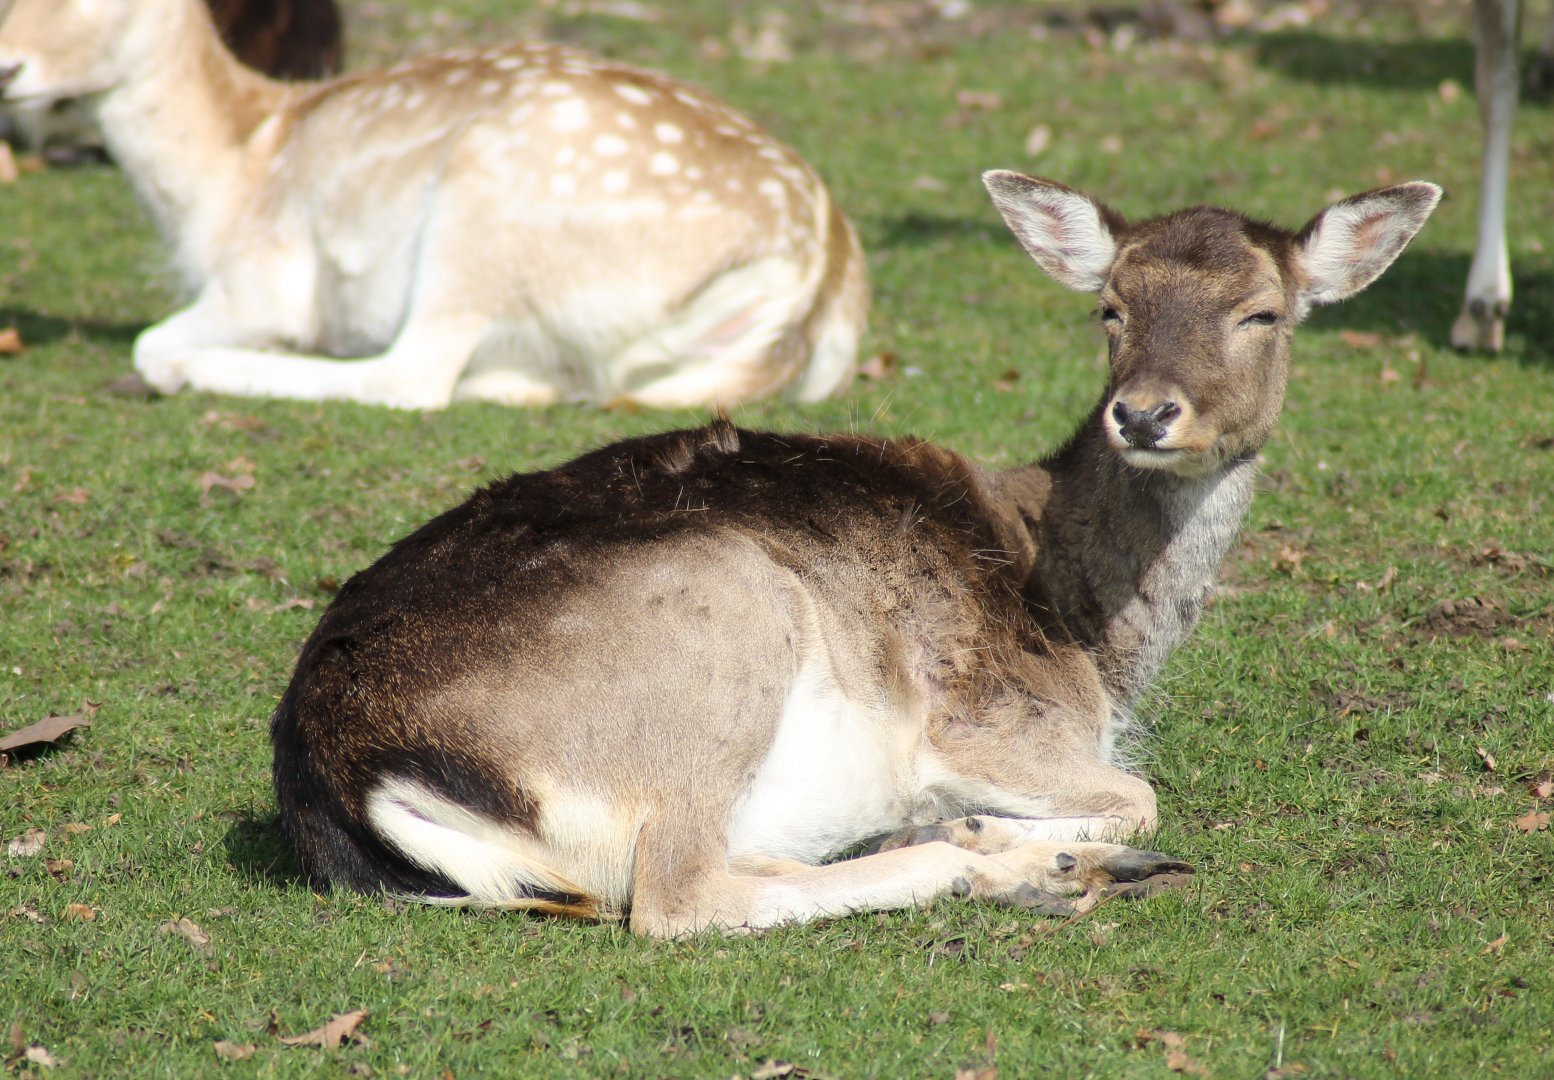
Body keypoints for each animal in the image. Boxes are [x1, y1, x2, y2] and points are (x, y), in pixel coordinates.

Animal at [0, 0, 867, 410]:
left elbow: (147, 339)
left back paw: (206, 370)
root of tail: (821, 269)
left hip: (480, 206)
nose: (8, 68)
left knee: (411, 375)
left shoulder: (262, 281)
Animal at [267, 172, 1440, 937]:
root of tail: (346, 769)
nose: (1145, 413)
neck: (1088, 630)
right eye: (1110, 307)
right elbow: (1138, 786)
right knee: (680, 901)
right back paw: (1002, 860)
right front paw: (1000, 828)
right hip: (725, 617)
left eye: (1264, 313)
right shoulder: (984, 721)